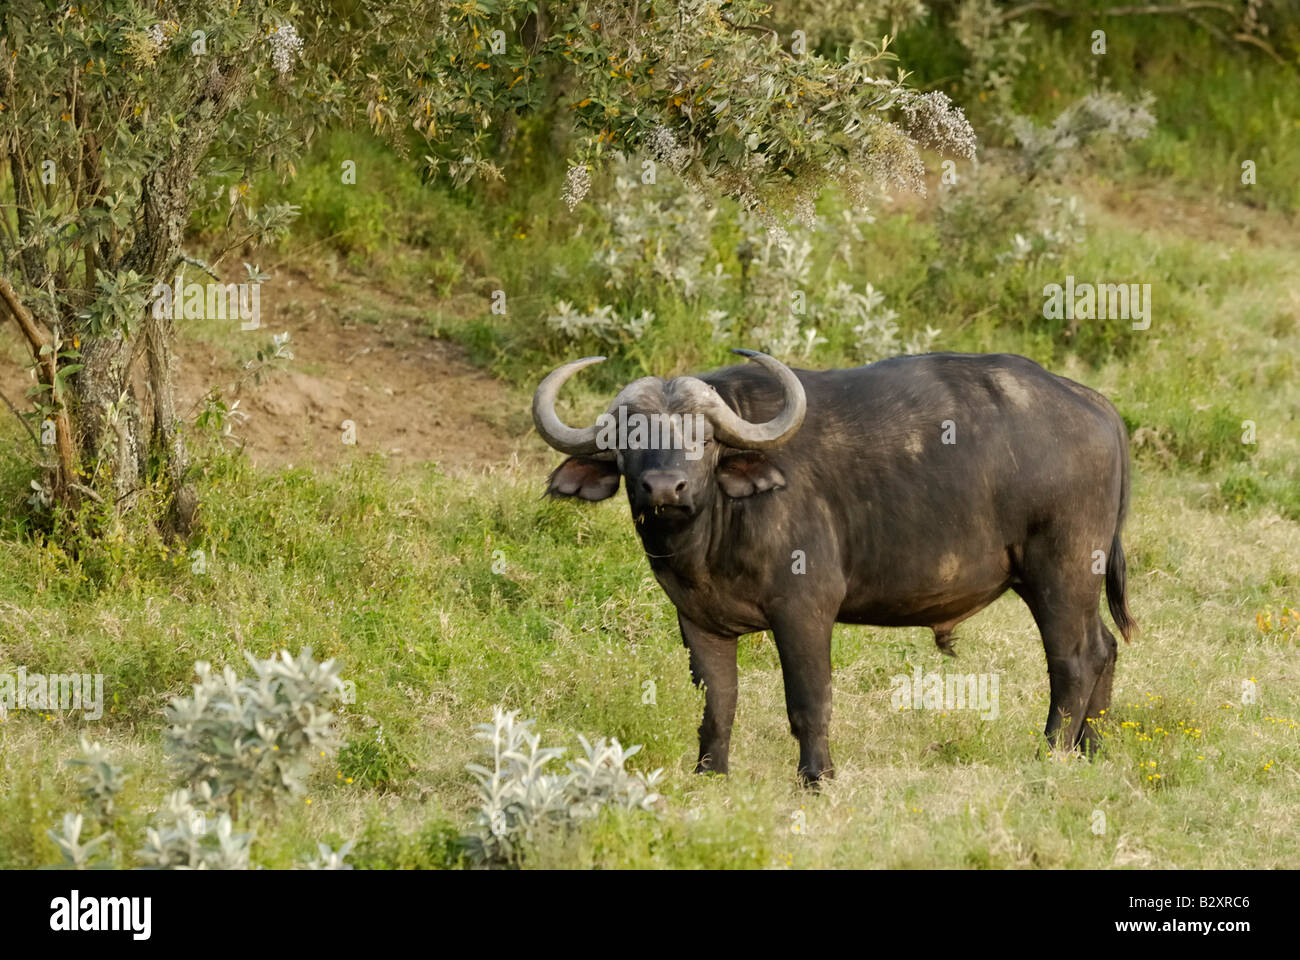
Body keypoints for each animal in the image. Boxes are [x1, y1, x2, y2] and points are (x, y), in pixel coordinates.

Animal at [533, 348, 1133, 780]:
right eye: (631, 437)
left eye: (701, 437)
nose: (664, 488)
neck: (709, 536)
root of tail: (1097, 406)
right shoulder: (697, 621)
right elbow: (718, 701)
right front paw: (709, 774)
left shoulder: (803, 610)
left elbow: (808, 698)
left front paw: (816, 776)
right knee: (1105, 646)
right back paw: (1092, 751)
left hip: (1060, 572)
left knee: (1075, 659)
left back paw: (1051, 755)